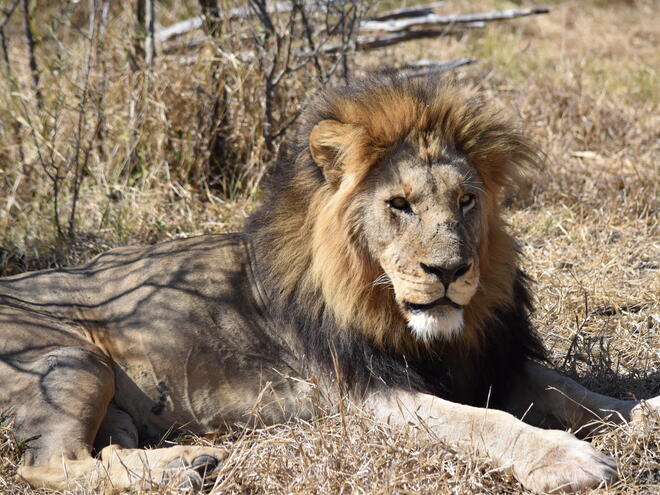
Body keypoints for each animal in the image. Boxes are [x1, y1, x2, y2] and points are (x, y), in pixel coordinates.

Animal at [1, 75, 660, 494]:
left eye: (467, 201)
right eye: (399, 205)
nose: (449, 272)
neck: (410, 323)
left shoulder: (490, 358)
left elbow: (574, 390)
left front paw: (642, 413)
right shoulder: (369, 393)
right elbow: (479, 421)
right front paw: (565, 456)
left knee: (102, 449)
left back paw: (191, 462)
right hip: (70, 359)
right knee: (47, 467)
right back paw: (184, 469)